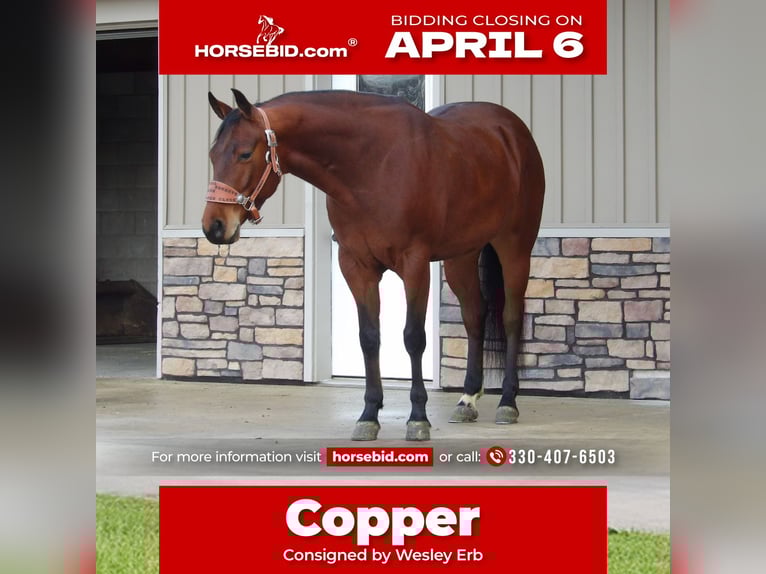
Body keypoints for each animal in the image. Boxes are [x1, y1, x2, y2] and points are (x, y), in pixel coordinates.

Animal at [203, 88, 545, 442]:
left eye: (244, 154)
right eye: (213, 155)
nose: (214, 226)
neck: (371, 166)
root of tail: (511, 131)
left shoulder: (414, 264)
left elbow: (413, 338)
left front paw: (418, 418)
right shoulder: (356, 266)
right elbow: (369, 337)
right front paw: (369, 415)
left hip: (514, 247)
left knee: (511, 318)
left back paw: (508, 402)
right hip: (461, 256)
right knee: (474, 316)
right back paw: (467, 399)